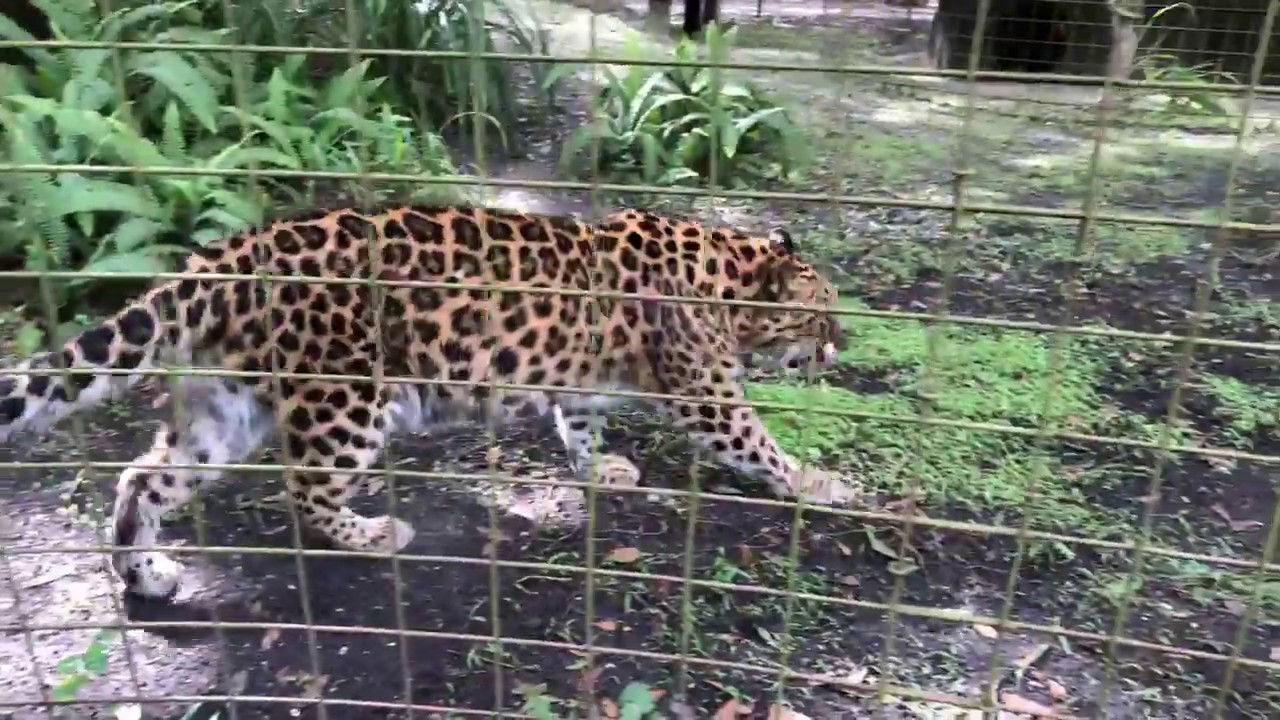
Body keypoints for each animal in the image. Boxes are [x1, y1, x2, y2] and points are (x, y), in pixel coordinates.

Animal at [0, 204, 854, 600]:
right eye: (821, 316)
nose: (841, 345)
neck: (729, 277)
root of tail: (224, 259)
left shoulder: (582, 380)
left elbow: (579, 422)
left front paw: (601, 469)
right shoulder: (707, 393)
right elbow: (758, 441)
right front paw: (820, 483)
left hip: (226, 410)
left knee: (144, 476)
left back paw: (144, 571)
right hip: (349, 399)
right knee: (305, 489)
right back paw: (377, 533)